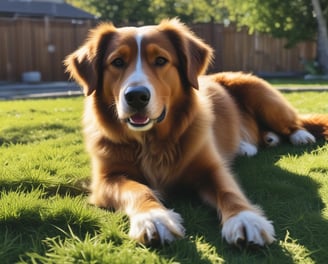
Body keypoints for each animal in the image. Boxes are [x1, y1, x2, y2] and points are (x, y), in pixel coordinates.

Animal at [65, 19, 328, 248]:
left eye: (161, 60)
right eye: (118, 62)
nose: (136, 96)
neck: (152, 141)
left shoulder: (211, 167)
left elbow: (228, 190)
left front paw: (244, 219)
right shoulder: (107, 179)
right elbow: (137, 189)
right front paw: (154, 217)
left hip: (261, 96)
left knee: (294, 123)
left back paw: (300, 136)